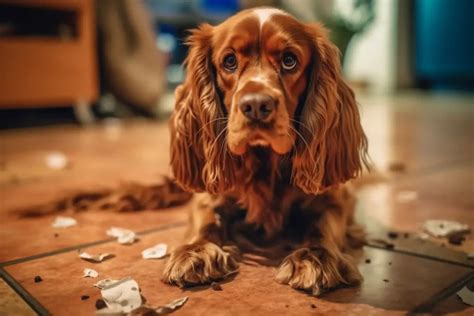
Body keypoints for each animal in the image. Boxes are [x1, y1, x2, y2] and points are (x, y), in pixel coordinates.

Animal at [163, 6, 370, 294]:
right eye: (229, 61)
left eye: (289, 60)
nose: (256, 106)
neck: (265, 162)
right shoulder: (208, 197)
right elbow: (207, 220)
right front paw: (197, 251)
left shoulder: (336, 198)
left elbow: (323, 224)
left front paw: (315, 257)